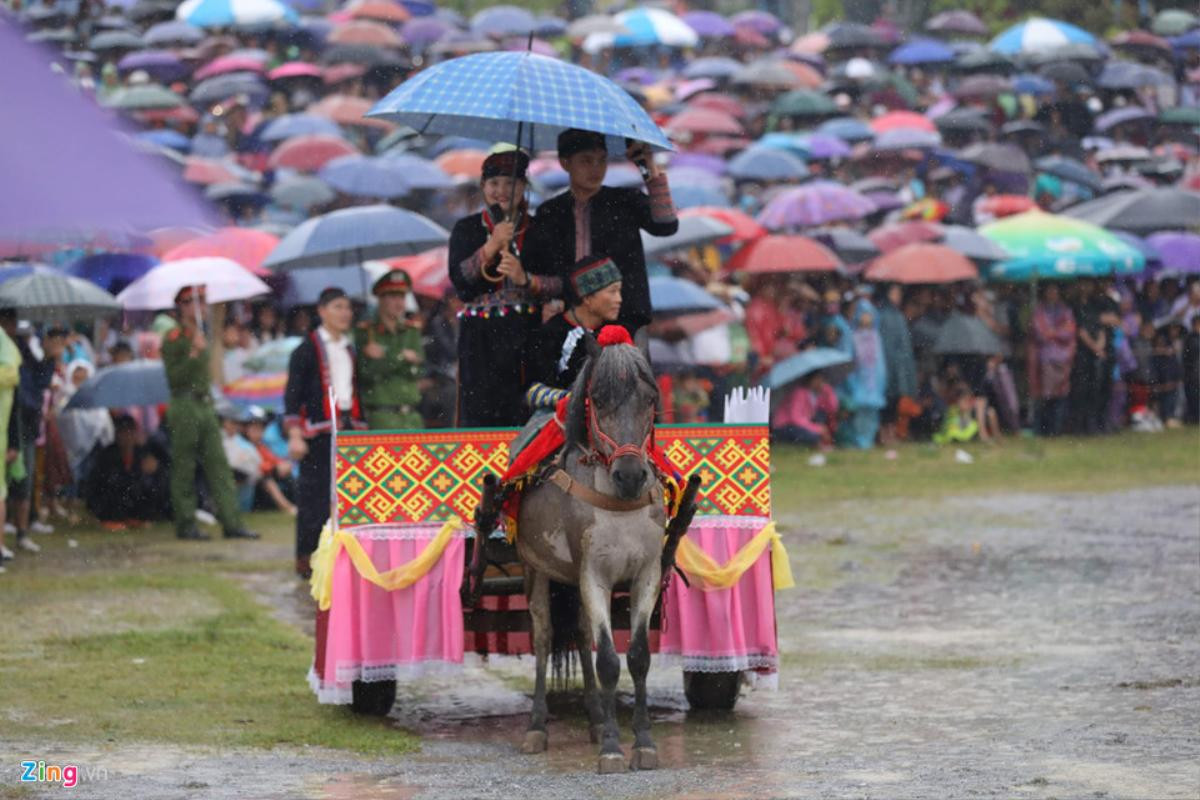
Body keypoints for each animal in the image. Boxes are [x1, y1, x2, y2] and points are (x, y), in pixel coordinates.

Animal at [513, 333, 672, 777]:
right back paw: (537, 727)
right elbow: (609, 663)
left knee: (584, 635)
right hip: (536, 570)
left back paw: (597, 719)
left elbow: (637, 656)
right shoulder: (593, 576)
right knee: (545, 637)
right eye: (598, 401)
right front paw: (613, 751)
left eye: (650, 400)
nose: (631, 475)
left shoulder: (646, 575)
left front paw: (643, 744)